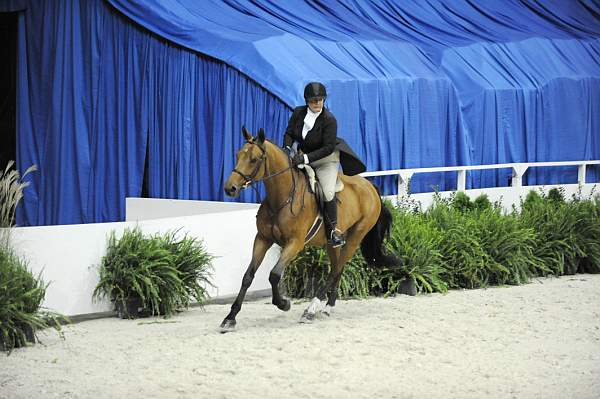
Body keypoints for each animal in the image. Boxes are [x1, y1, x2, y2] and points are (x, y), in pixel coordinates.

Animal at [219, 126, 394, 332]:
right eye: (238, 155)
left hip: (355, 237)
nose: (229, 188)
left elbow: (274, 275)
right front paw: (230, 318)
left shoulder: (294, 244)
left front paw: (283, 304)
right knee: (337, 268)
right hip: (332, 242)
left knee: (335, 270)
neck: (282, 198)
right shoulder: (262, 239)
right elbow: (248, 276)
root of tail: (370, 186)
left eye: (253, 159)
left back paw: (310, 310)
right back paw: (328, 307)